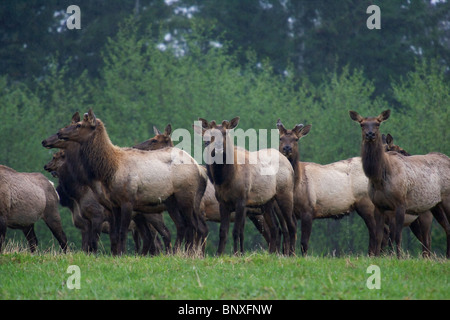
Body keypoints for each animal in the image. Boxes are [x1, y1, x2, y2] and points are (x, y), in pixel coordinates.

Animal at [55, 109, 207, 255]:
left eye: (79, 125)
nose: (59, 132)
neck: (109, 170)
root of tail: (197, 166)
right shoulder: (114, 204)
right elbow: (115, 233)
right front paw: (116, 254)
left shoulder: (127, 200)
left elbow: (122, 232)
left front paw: (122, 254)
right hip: (171, 200)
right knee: (182, 225)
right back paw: (176, 252)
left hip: (185, 196)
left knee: (193, 225)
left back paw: (189, 253)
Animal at [196, 117, 296, 255]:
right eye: (211, 135)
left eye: (225, 133)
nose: (218, 147)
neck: (225, 179)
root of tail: (289, 164)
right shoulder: (222, 202)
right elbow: (223, 231)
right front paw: (219, 253)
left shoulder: (241, 200)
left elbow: (236, 231)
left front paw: (236, 253)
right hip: (267, 202)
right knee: (275, 227)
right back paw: (272, 253)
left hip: (285, 193)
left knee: (291, 225)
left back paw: (291, 253)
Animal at [352, 110, 450, 258]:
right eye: (362, 124)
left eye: (377, 123)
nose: (370, 134)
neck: (379, 180)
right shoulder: (378, 207)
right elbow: (380, 237)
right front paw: (378, 257)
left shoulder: (399, 206)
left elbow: (396, 237)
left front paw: (398, 257)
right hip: (435, 206)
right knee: (444, 230)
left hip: (432, 210)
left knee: (427, 239)